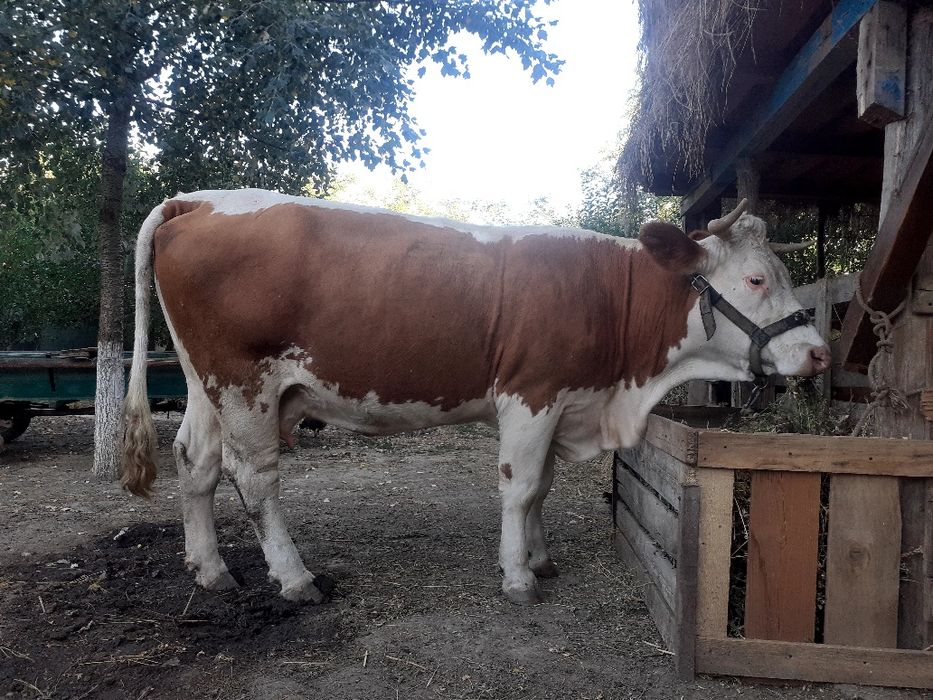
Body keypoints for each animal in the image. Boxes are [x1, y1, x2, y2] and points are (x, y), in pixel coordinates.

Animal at [121, 189, 829, 605]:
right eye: (756, 278)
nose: (820, 351)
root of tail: (199, 200)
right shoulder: (531, 394)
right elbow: (521, 487)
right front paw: (518, 577)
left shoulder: (564, 399)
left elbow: (542, 487)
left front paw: (541, 558)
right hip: (245, 385)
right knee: (255, 477)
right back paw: (294, 578)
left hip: (205, 385)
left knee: (195, 464)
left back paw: (209, 568)